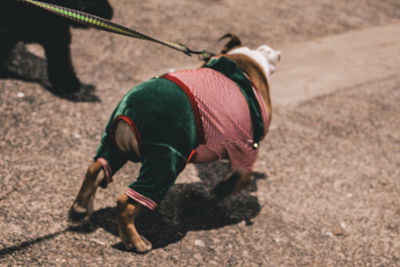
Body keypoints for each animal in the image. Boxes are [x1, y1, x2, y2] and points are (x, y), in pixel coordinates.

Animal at [68, 34, 282, 253]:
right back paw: (136, 242)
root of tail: (129, 115)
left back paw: (79, 209)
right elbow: (239, 178)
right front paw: (217, 194)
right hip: (166, 160)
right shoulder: (246, 148)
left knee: (96, 168)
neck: (245, 61)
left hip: (112, 144)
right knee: (126, 202)